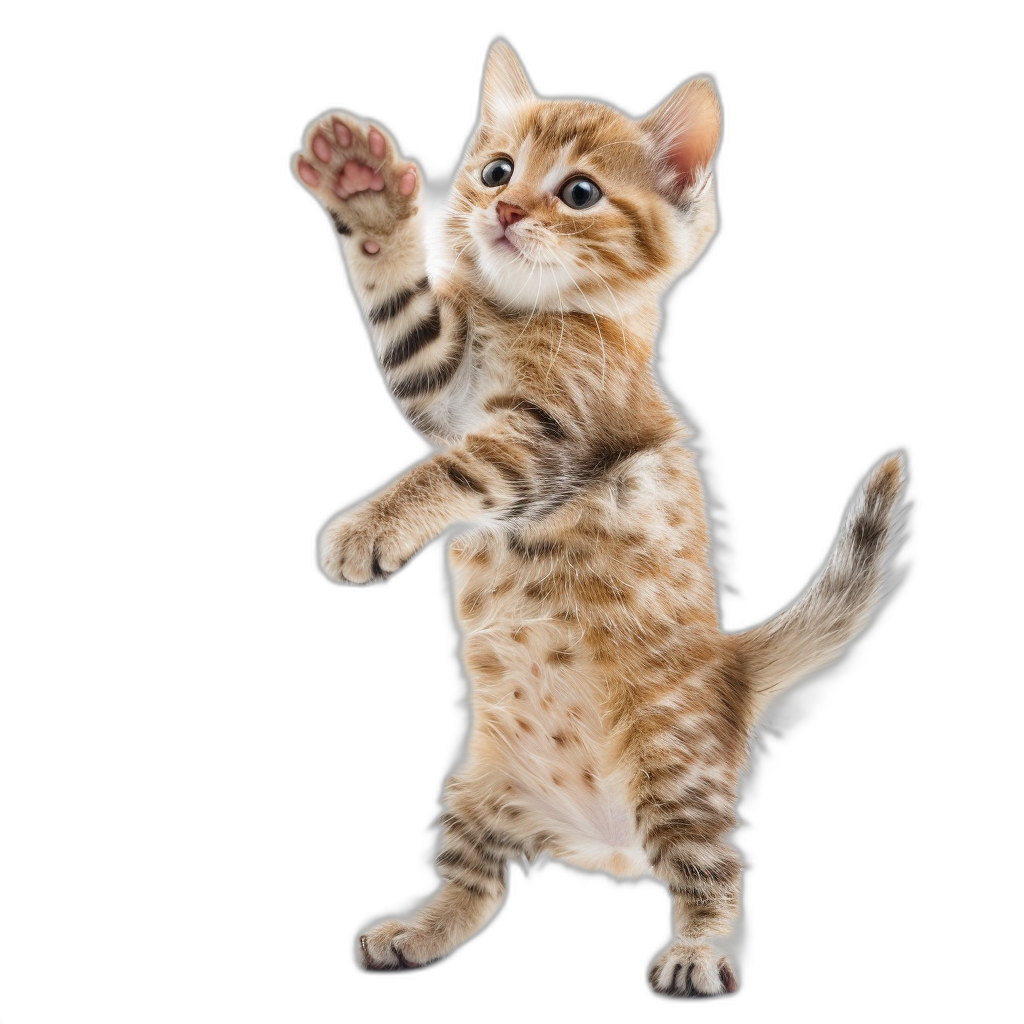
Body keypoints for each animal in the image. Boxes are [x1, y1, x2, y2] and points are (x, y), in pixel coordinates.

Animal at [292, 41, 909, 999]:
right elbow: (404, 320)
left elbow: (451, 470)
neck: (531, 316)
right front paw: (362, 192)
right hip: (476, 786)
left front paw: (372, 529)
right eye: (496, 169)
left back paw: (696, 951)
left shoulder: (547, 443)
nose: (504, 208)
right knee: (477, 887)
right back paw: (420, 932)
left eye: (578, 192)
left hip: (670, 767)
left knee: (713, 870)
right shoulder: (443, 386)